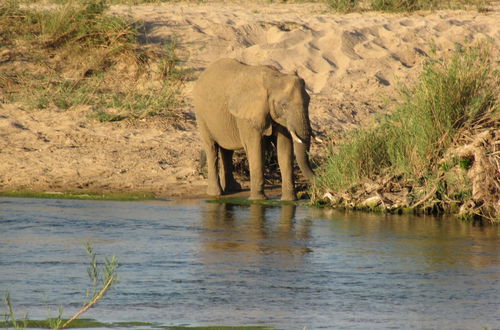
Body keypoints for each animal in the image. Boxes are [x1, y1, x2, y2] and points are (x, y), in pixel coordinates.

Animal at [193, 58, 314, 200]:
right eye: (283, 105)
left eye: (309, 101)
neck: (274, 78)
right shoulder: (246, 115)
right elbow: (256, 149)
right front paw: (258, 200)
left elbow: (285, 150)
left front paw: (289, 200)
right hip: (201, 115)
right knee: (211, 147)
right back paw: (215, 193)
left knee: (227, 151)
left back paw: (233, 189)